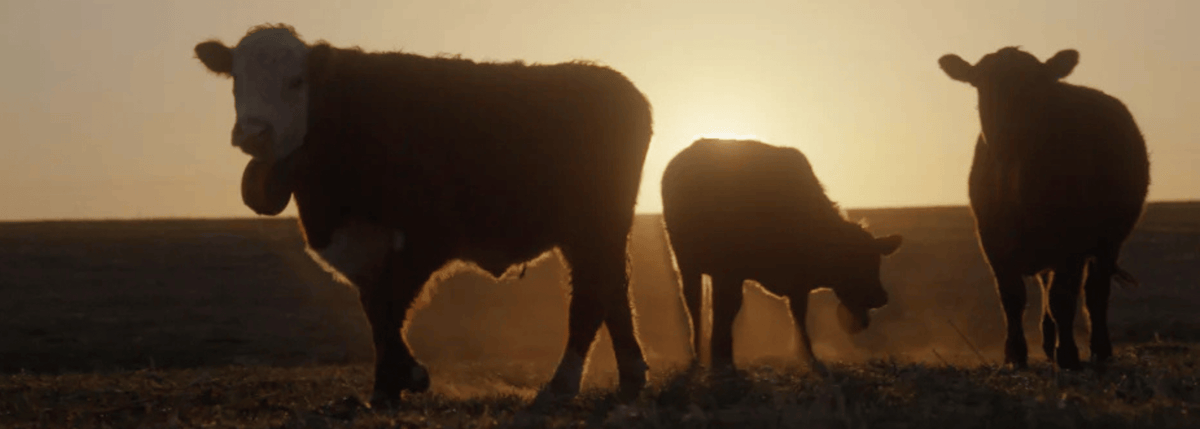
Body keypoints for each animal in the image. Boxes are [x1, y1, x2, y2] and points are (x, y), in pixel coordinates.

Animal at [193, 24, 653, 406]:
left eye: (296, 81)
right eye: (236, 79)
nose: (253, 134)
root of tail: (614, 83)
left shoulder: (427, 237)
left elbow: (390, 305)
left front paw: (407, 377)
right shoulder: (362, 247)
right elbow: (375, 311)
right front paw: (386, 387)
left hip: (597, 225)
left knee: (592, 296)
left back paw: (562, 386)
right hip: (591, 234)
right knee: (613, 289)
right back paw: (631, 378)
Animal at [660, 138, 903, 372]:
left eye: (876, 261)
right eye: (858, 262)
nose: (882, 297)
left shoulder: (797, 284)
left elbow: (798, 318)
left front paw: (808, 356)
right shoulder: (730, 272)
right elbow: (726, 310)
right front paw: (722, 358)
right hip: (686, 262)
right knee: (695, 305)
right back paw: (700, 354)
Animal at [939, 47, 1149, 370]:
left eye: (1035, 84)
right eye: (980, 83)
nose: (1008, 131)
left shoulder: (1071, 244)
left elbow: (1062, 299)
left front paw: (1069, 355)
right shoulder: (992, 241)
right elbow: (1012, 299)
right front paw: (1015, 355)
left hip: (1108, 243)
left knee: (1095, 293)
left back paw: (1099, 349)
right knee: (1047, 288)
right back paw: (1049, 345)